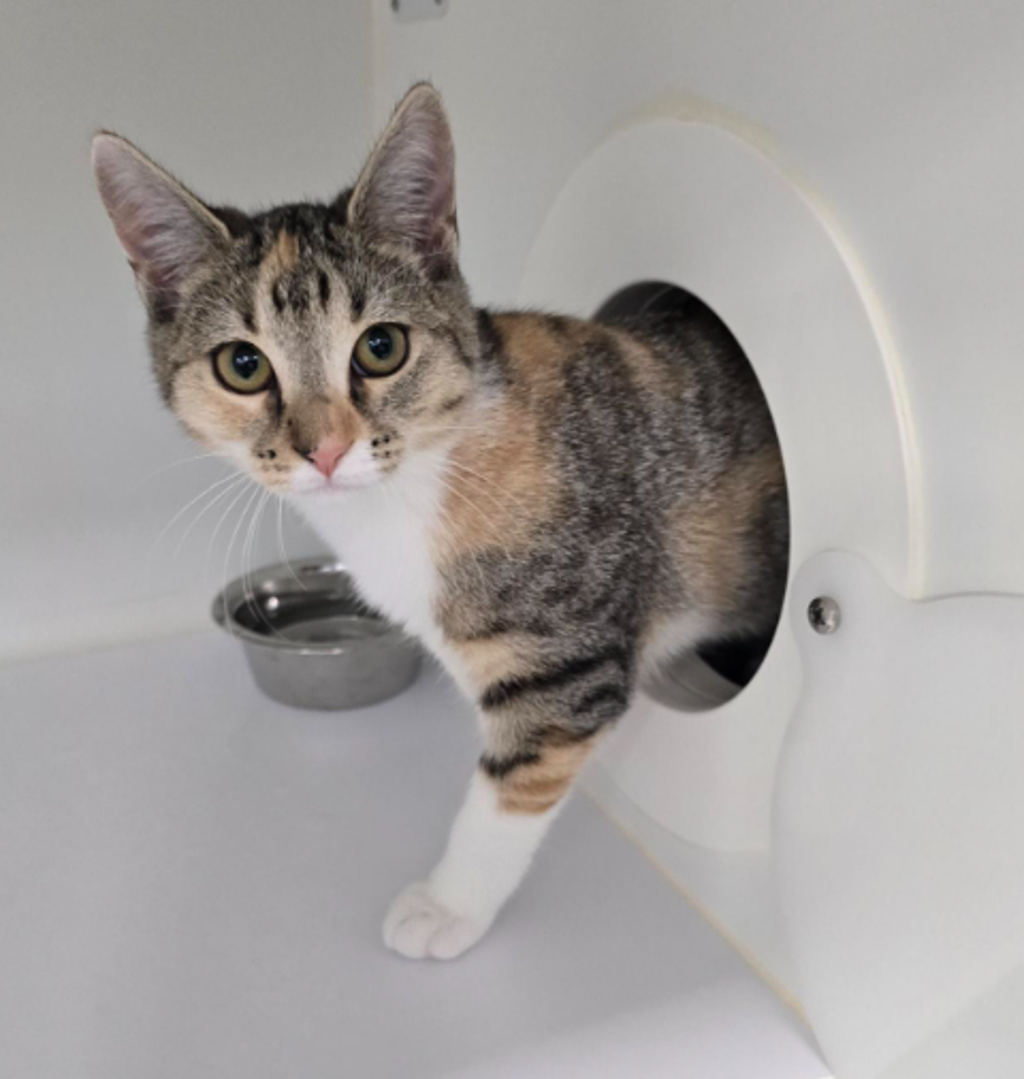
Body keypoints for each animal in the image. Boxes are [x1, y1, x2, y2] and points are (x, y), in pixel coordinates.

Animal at [92, 83, 787, 960]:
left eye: (381, 347)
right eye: (242, 365)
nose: (324, 449)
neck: (410, 488)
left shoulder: (567, 665)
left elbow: (510, 784)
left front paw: (449, 903)